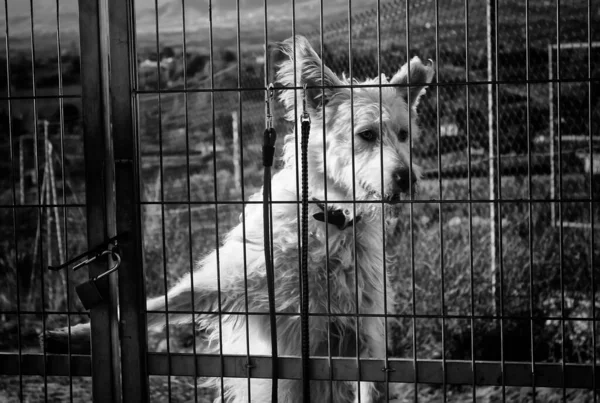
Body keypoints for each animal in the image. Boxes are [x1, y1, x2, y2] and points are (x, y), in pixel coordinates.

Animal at [44, 36, 434, 402]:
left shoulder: (362, 332)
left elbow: (372, 380)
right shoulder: (242, 278)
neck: (329, 217)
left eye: (404, 135)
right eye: (366, 134)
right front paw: (78, 335)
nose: (407, 178)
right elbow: (167, 302)